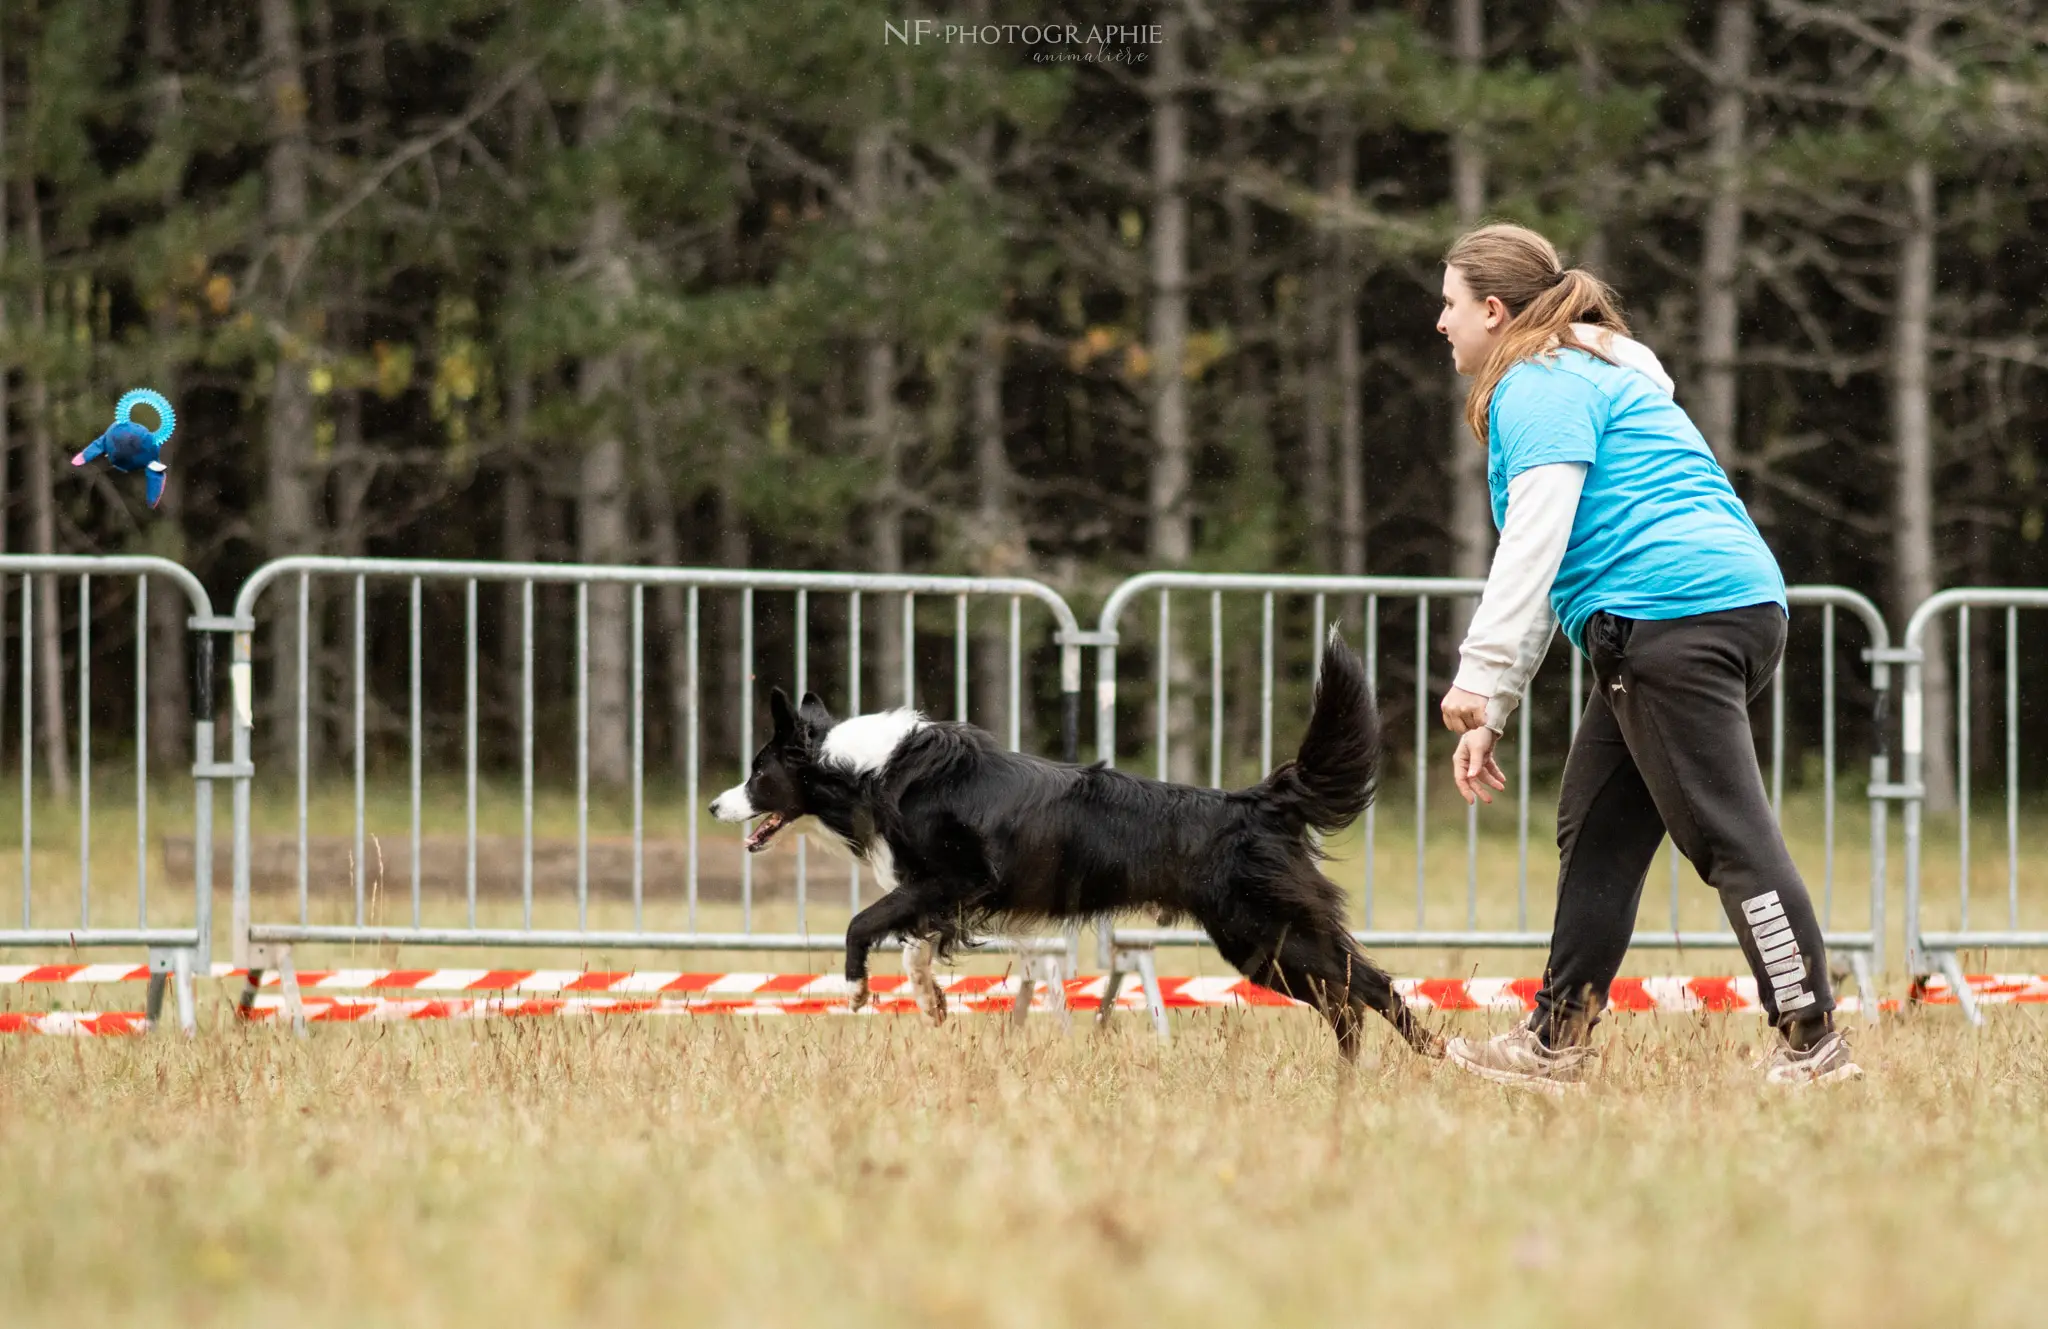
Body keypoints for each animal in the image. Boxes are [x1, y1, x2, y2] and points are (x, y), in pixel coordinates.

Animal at [712, 630, 1449, 1056]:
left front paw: (857, 987)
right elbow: (915, 943)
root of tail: (1257, 801)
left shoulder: (960, 875)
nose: (717, 804)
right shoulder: (939, 892)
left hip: (1267, 932)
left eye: (758, 773)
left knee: (1370, 986)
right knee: (1347, 1001)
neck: (866, 769)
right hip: (1264, 947)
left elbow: (864, 922)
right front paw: (930, 1000)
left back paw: (1436, 1061)